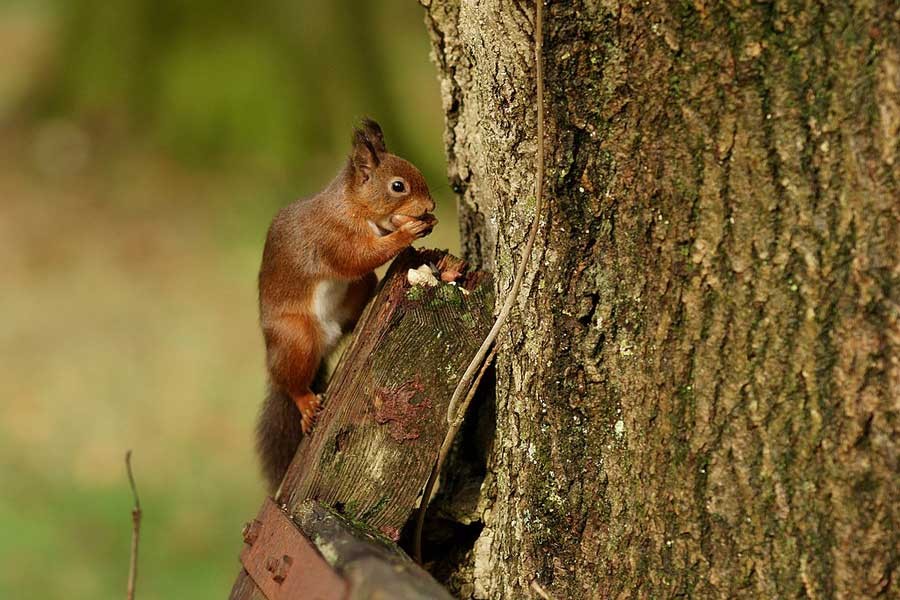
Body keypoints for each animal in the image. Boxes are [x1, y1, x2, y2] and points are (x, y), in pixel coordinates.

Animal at [255, 119, 438, 490]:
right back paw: (306, 403)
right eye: (398, 186)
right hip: (296, 337)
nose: (430, 206)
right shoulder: (333, 238)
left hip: (356, 293)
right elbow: (359, 257)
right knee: (292, 383)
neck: (352, 206)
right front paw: (407, 232)